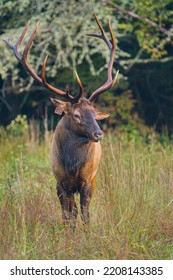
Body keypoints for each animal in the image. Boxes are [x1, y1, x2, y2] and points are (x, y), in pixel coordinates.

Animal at [5, 14, 119, 228]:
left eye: (94, 113)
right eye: (76, 115)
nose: (98, 133)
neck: (72, 166)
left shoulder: (87, 180)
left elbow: (85, 214)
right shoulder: (60, 182)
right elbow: (68, 216)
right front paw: (69, 235)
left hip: (94, 178)